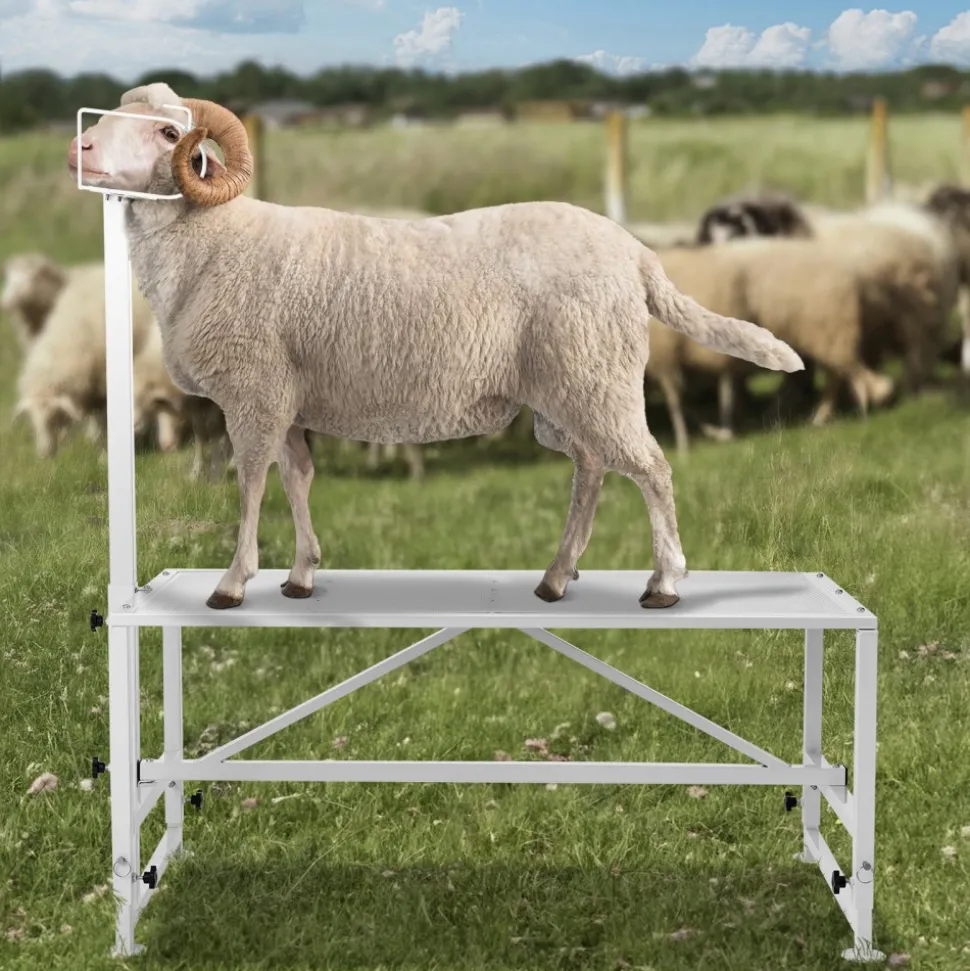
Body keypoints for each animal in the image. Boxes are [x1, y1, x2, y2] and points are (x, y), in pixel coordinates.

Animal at [68, 81, 803, 611]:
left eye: (170, 131)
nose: (81, 149)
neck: (211, 240)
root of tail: (634, 252)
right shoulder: (287, 397)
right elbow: (297, 477)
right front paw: (301, 574)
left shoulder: (254, 391)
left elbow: (251, 483)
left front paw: (232, 582)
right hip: (567, 392)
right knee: (593, 466)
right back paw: (556, 576)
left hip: (597, 376)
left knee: (650, 468)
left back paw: (664, 583)